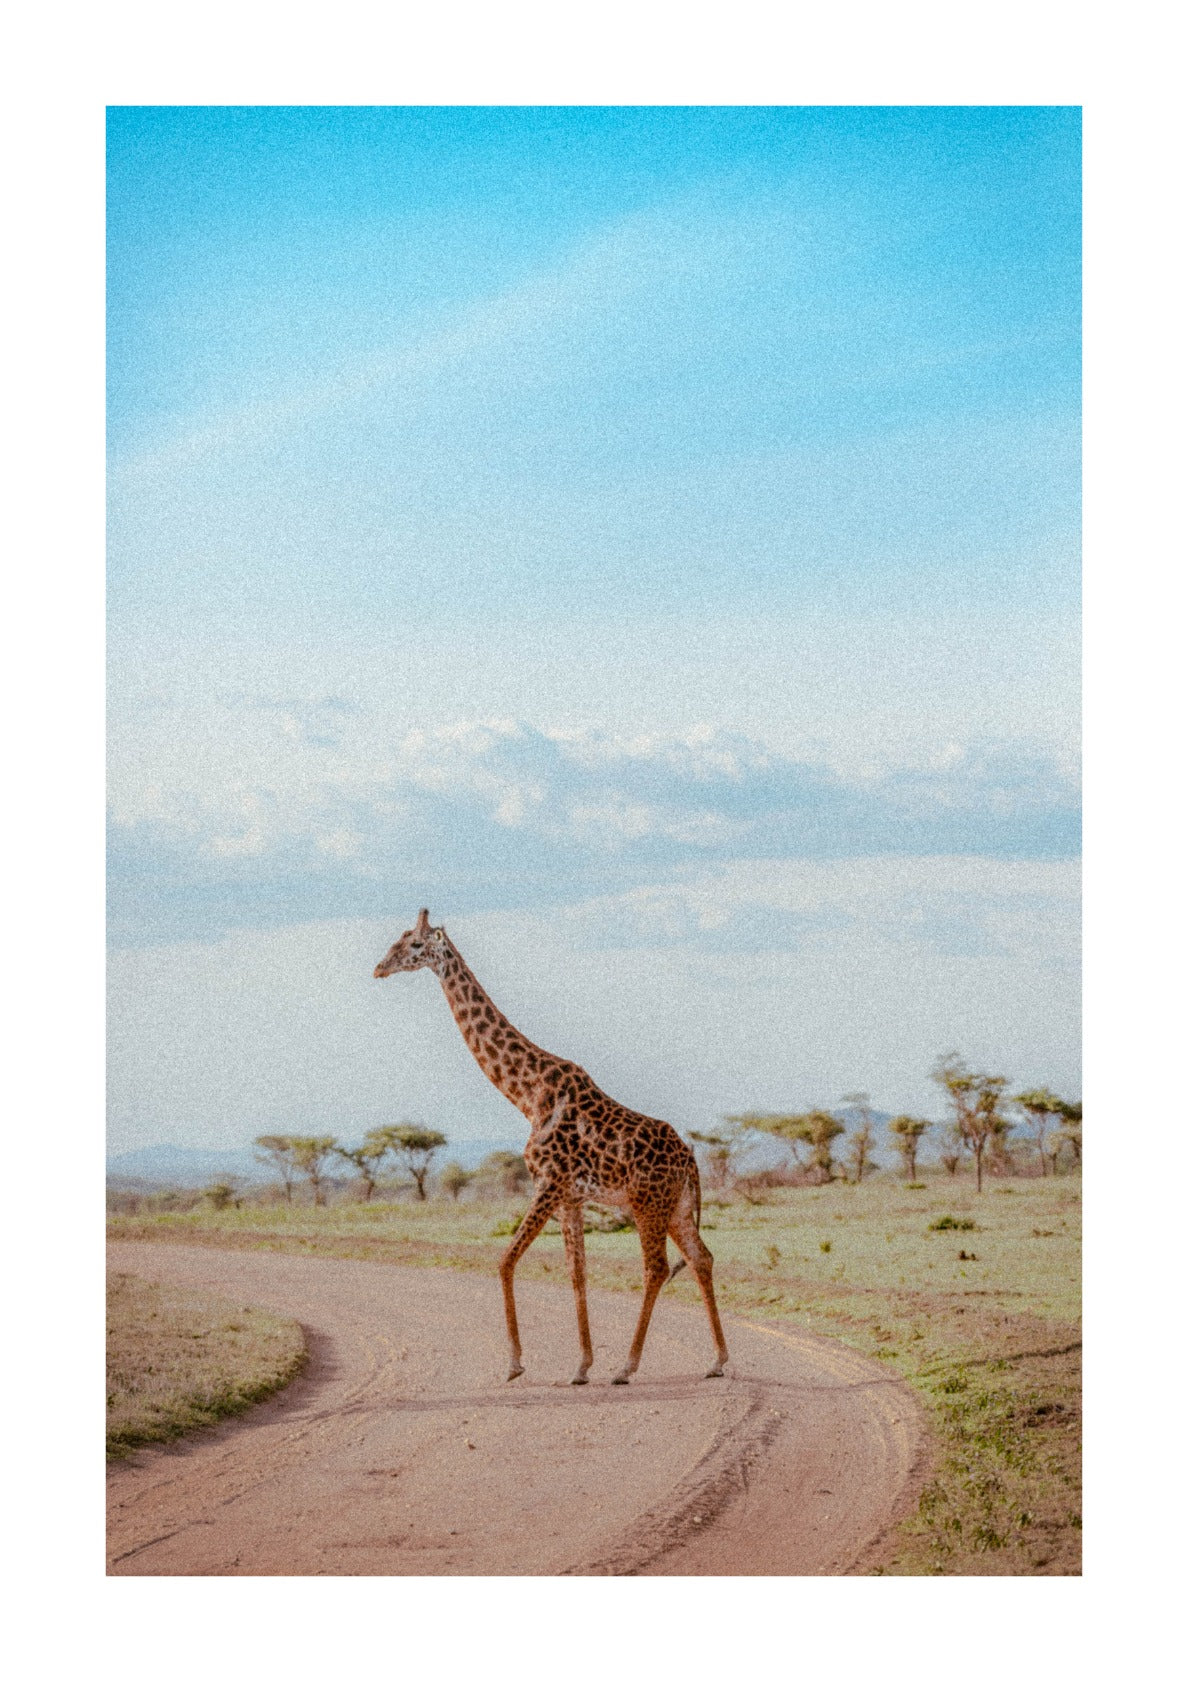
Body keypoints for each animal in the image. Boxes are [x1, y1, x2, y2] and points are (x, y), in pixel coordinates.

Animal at [374, 909, 729, 1386]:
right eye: (398, 940)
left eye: (414, 944)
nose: (379, 968)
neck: (526, 1094)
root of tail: (690, 1159)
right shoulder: (571, 1196)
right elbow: (576, 1273)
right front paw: (580, 1367)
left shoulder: (548, 1182)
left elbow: (505, 1260)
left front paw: (514, 1364)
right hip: (676, 1206)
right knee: (701, 1258)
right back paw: (717, 1360)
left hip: (647, 1203)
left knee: (656, 1267)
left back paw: (627, 1366)